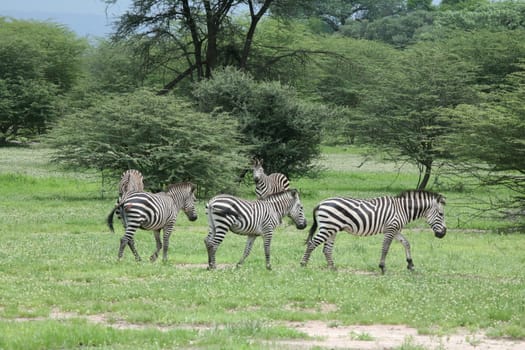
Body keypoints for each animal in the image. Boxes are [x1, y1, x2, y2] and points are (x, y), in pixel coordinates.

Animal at [300, 189, 444, 274]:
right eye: (442, 214)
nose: (443, 234)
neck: (402, 209)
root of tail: (320, 204)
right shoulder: (391, 228)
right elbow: (385, 248)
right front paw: (382, 267)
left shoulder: (396, 229)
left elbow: (406, 243)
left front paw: (410, 265)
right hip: (328, 227)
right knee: (312, 243)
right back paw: (303, 264)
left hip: (332, 229)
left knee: (327, 249)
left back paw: (332, 268)